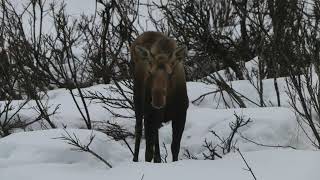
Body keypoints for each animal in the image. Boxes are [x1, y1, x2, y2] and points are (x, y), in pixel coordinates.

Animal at [131, 30, 189, 162]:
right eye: (150, 72)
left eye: (170, 73)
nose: (157, 100)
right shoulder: (149, 115)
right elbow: (148, 152)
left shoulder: (181, 114)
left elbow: (175, 147)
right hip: (138, 102)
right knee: (138, 129)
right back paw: (135, 159)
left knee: (155, 136)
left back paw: (158, 159)